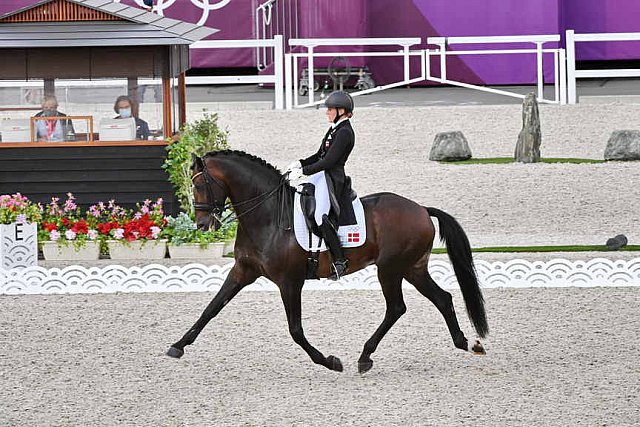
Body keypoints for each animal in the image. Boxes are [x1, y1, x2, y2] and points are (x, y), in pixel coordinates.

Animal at [168, 151, 488, 374]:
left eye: (200, 185)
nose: (202, 225)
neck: (268, 217)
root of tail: (421, 209)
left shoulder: (289, 282)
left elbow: (295, 331)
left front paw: (330, 361)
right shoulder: (242, 272)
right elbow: (211, 309)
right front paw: (177, 346)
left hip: (390, 269)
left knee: (397, 307)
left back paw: (364, 357)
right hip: (412, 268)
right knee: (442, 298)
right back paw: (467, 343)